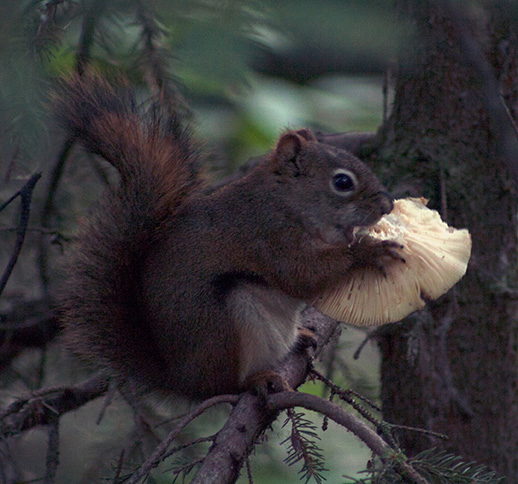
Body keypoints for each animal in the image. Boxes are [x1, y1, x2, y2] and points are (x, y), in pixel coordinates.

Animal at [57, 74, 400, 400]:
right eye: (342, 182)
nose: (387, 205)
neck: (287, 202)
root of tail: (182, 379)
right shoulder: (269, 236)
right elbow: (302, 276)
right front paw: (369, 250)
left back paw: (299, 338)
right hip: (226, 326)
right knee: (224, 385)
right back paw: (256, 380)